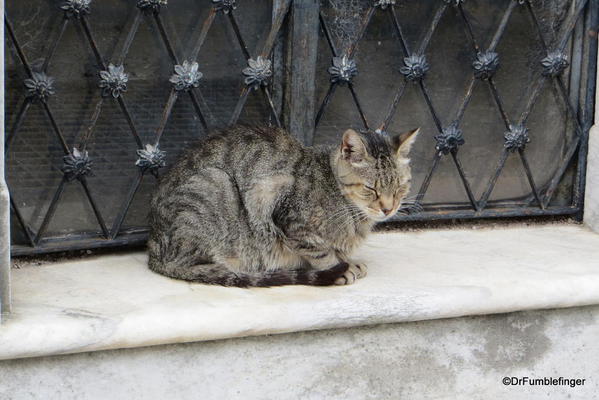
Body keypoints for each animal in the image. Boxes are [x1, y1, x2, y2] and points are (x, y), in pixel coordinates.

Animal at [146, 126, 418, 286]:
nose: (389, 208)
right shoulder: (282, 210)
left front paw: (348, 259)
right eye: (371, 188)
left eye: (400, 187)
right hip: (216, 184)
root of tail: (154, 251)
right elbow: (321, 253)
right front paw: (340, 268)